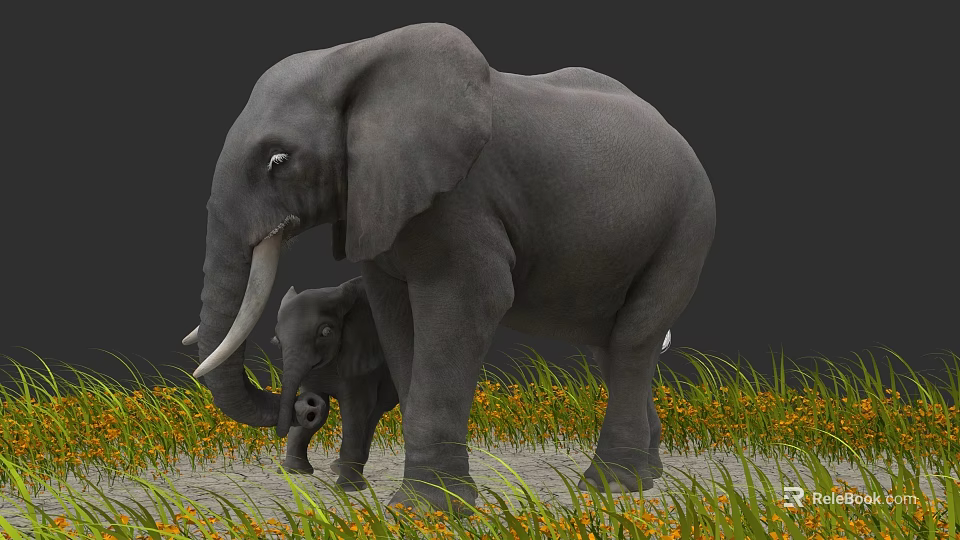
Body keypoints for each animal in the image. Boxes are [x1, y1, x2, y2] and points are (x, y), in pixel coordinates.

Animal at [269, 278, 399, 491]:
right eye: (276, 341)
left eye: (326, 332)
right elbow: (322, 410)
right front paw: (293, 472)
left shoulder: (364, 359)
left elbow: (354, 411)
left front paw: (347, 489)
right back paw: (338, 467)